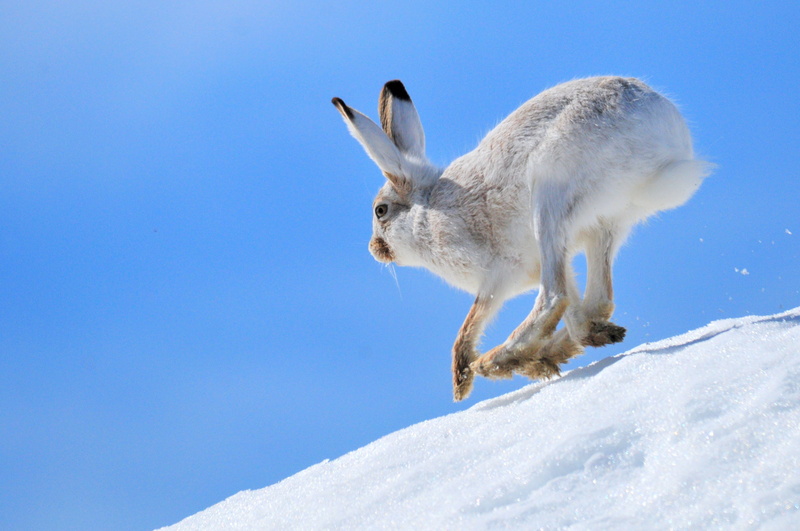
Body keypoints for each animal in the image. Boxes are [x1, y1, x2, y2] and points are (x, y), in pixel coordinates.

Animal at [332, 76, 711, 401]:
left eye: (381, 211)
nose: (375, 249)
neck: (430, 207)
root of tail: (664, 141)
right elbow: (576, 306)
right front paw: (550, 358)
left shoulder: (499, 274)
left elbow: (471, 322)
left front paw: (462, 377)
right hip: (602, 223)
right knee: (595, 298)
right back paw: (564, 347)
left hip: (548, 197)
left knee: (553, 297)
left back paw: (495, 361)